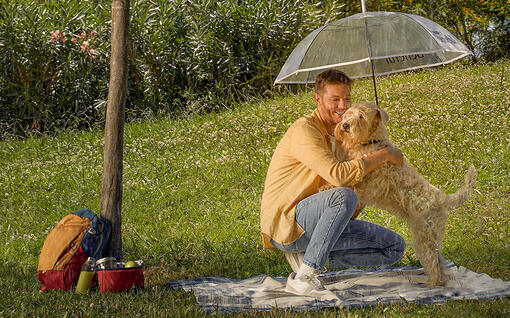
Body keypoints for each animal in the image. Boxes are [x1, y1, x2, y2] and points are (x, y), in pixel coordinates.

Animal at [334, 101, 478, 286]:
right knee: (439, 260)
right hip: (429, 235)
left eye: (361, 116)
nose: (345, 125)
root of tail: (443, 199)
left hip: (425, 235)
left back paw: (433, 284)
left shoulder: (368, 182)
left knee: (433, 261)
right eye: (348, 112)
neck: (371, 142)